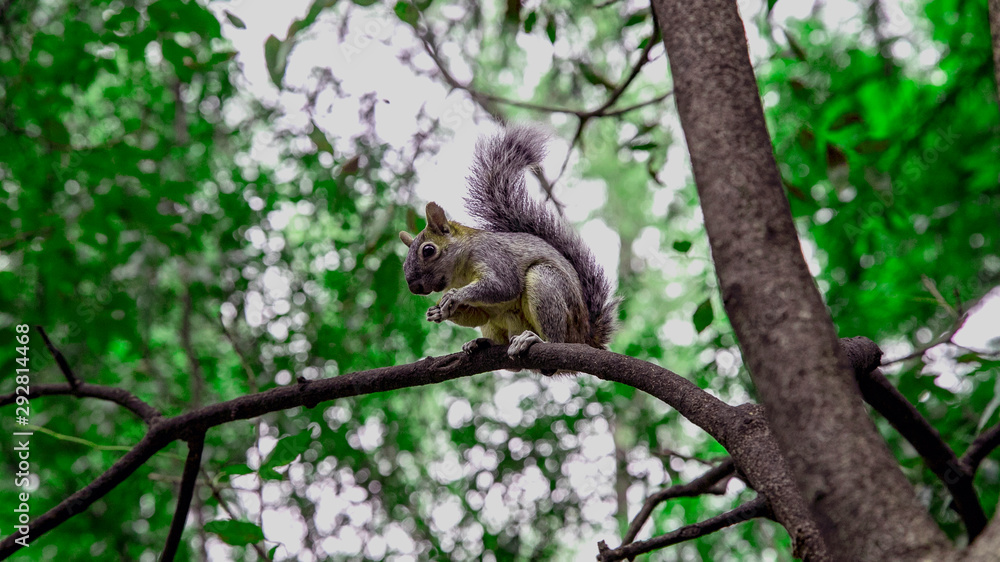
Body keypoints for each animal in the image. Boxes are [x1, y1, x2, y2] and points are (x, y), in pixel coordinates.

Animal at [398, 124, 616, 366]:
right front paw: (439, 312)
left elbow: (504, 285)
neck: (461, 274)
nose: (414, 287)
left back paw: (537, 340)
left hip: (546, 285)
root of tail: (584, 337)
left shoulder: (494, 256)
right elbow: (478, 313)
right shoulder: (481, 308)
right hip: (495, 324)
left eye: (428, 250)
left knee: (555, 336)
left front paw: (454, 296)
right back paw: (481, 343)